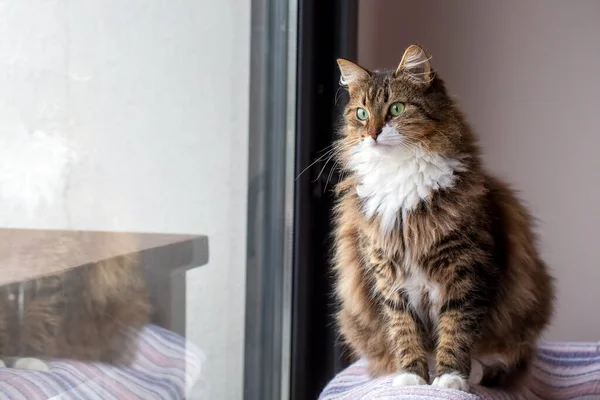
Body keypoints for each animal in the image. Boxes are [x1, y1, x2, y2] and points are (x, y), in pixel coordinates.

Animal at [332, 45, 552, 392]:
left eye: (396, 109)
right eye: (362, 114)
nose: (372, 134)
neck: (401, 176)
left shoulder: (466, 272)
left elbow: (456, 329)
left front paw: (450, 379)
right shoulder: (389, 276)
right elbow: (404, 330)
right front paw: (412, 378)